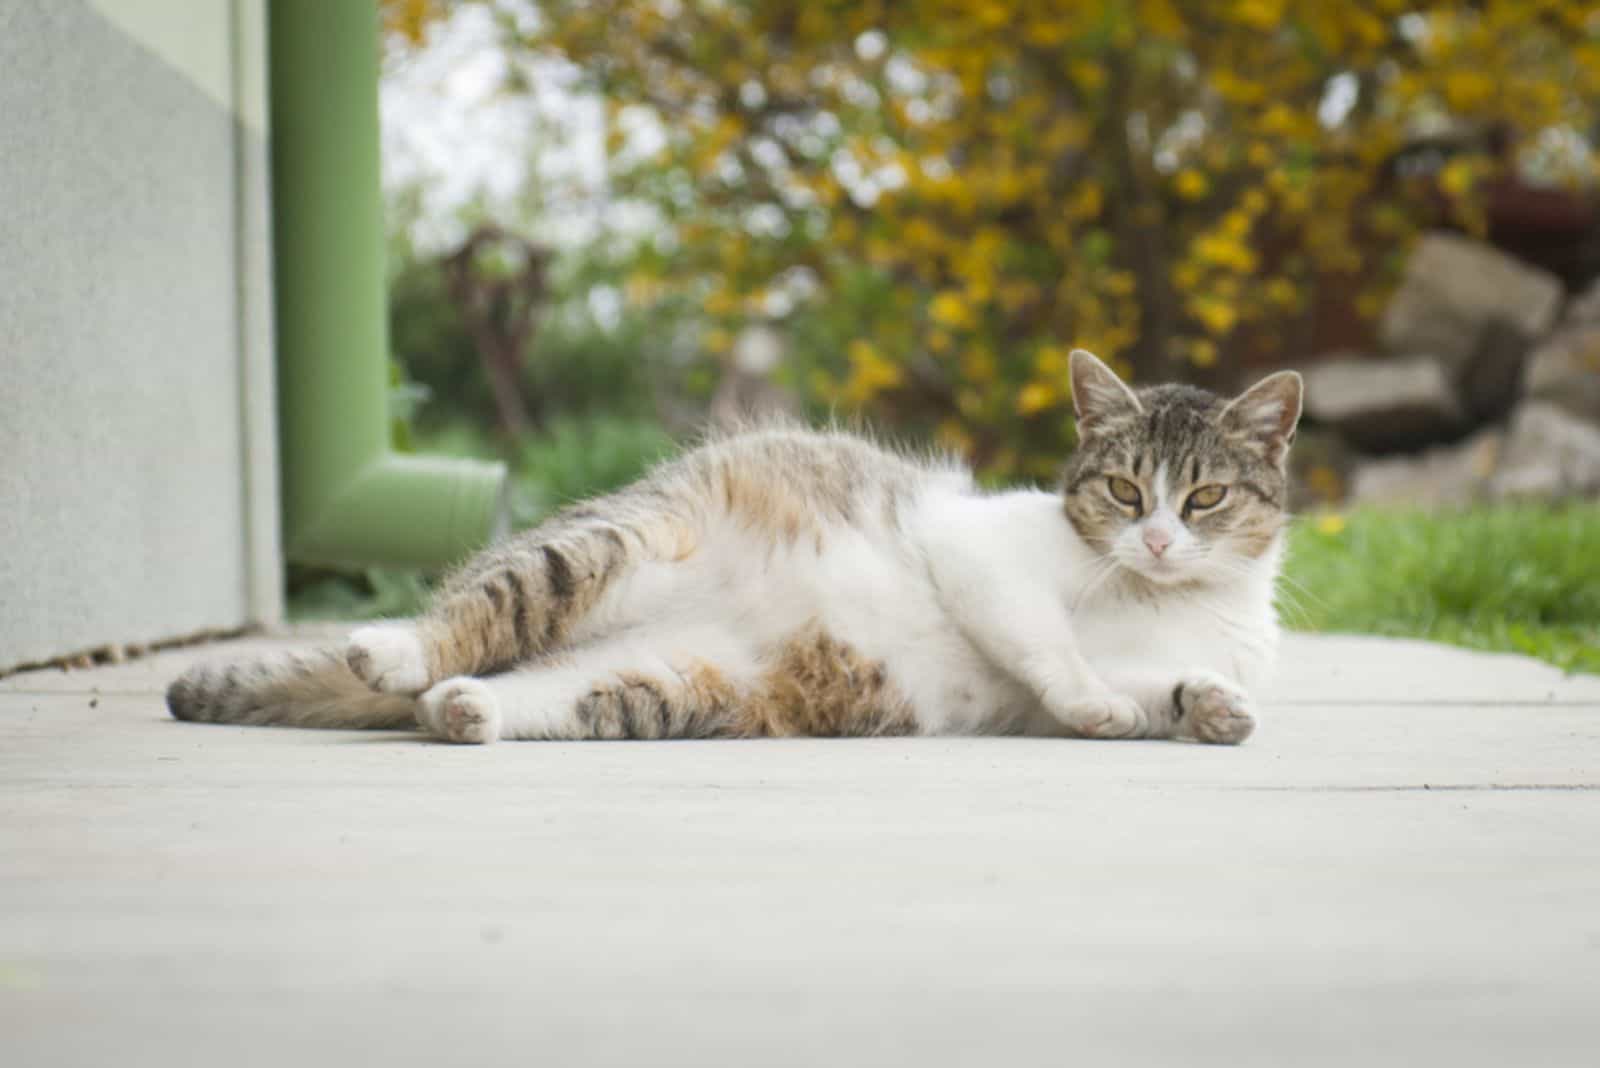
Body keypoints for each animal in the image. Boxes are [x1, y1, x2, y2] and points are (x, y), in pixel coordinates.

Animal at [172, 354, 1299, 748]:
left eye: (1203, 496)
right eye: (1124, 491)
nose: (1158, 539)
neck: (1160, 601)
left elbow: (1164, 687)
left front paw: (1211, 708)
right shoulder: (978, 551)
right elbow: (1045, 644)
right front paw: (1099, 699)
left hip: (660, 683)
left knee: (514, 687)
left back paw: (463, 711)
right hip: (604, 549)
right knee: (469, 614)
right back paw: (396, 653)